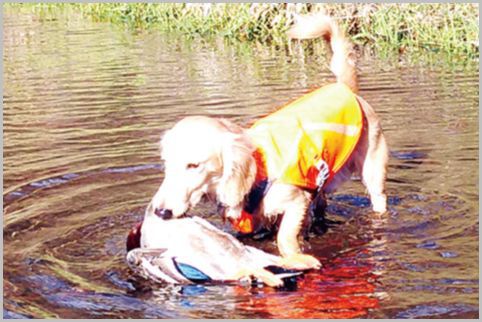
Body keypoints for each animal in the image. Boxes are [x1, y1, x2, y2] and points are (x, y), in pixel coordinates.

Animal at [149, 13, 390, 270]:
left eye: (193, 165)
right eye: (166, 165)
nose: (161, 212)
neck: (258, 171)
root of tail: (345, 88)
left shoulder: (296, 201)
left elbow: (284, 235)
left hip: (373, 171)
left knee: (379, 198)